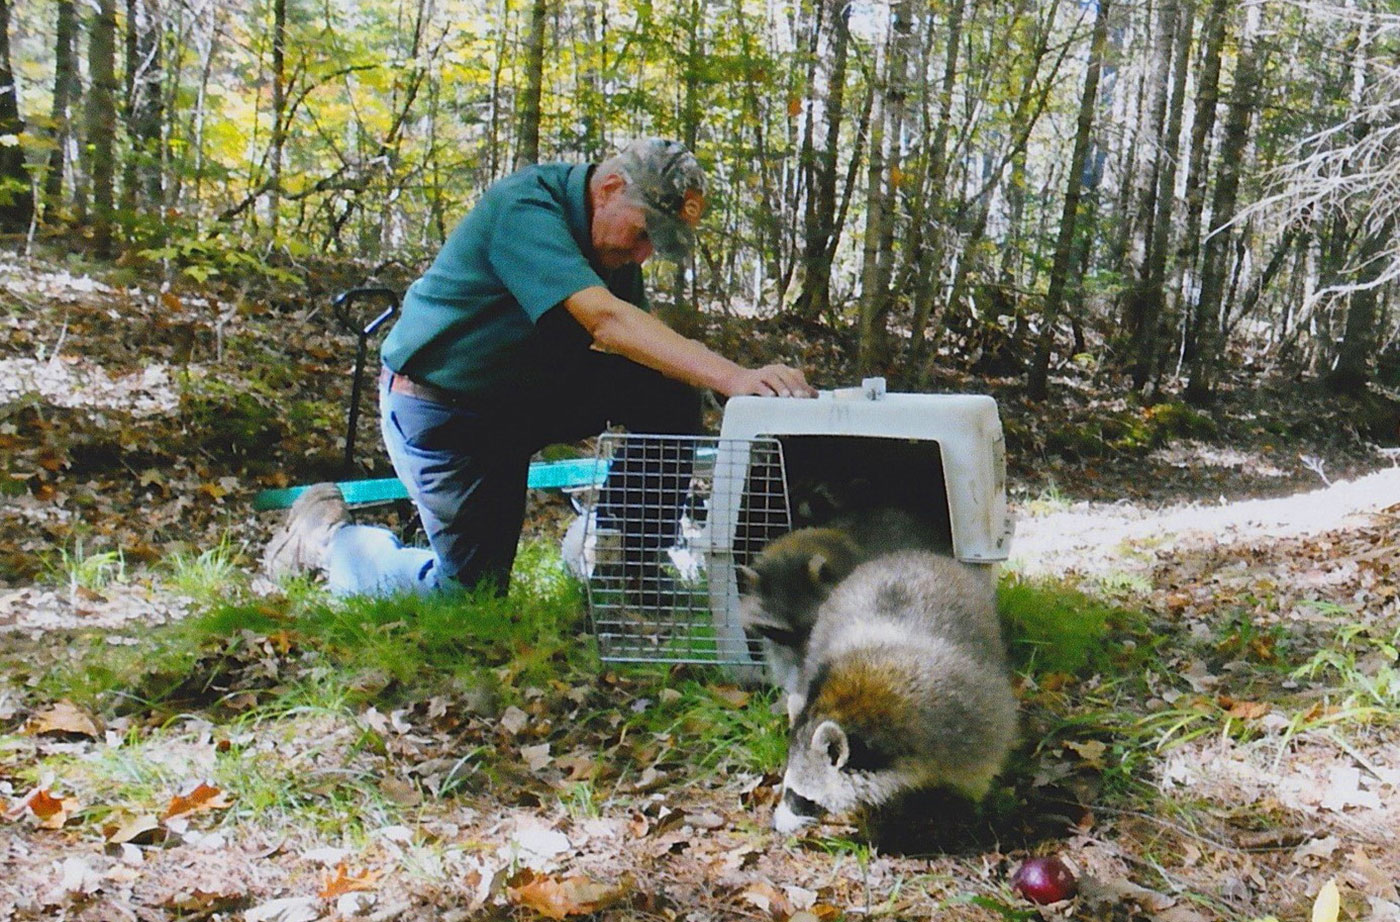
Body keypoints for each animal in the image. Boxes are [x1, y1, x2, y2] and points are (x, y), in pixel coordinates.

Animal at [772, 551, 1013, 833]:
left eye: (799, 797)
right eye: (787, 789)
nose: (775, 826)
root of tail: (911, 554)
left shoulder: (966, 724)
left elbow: (979, 770)